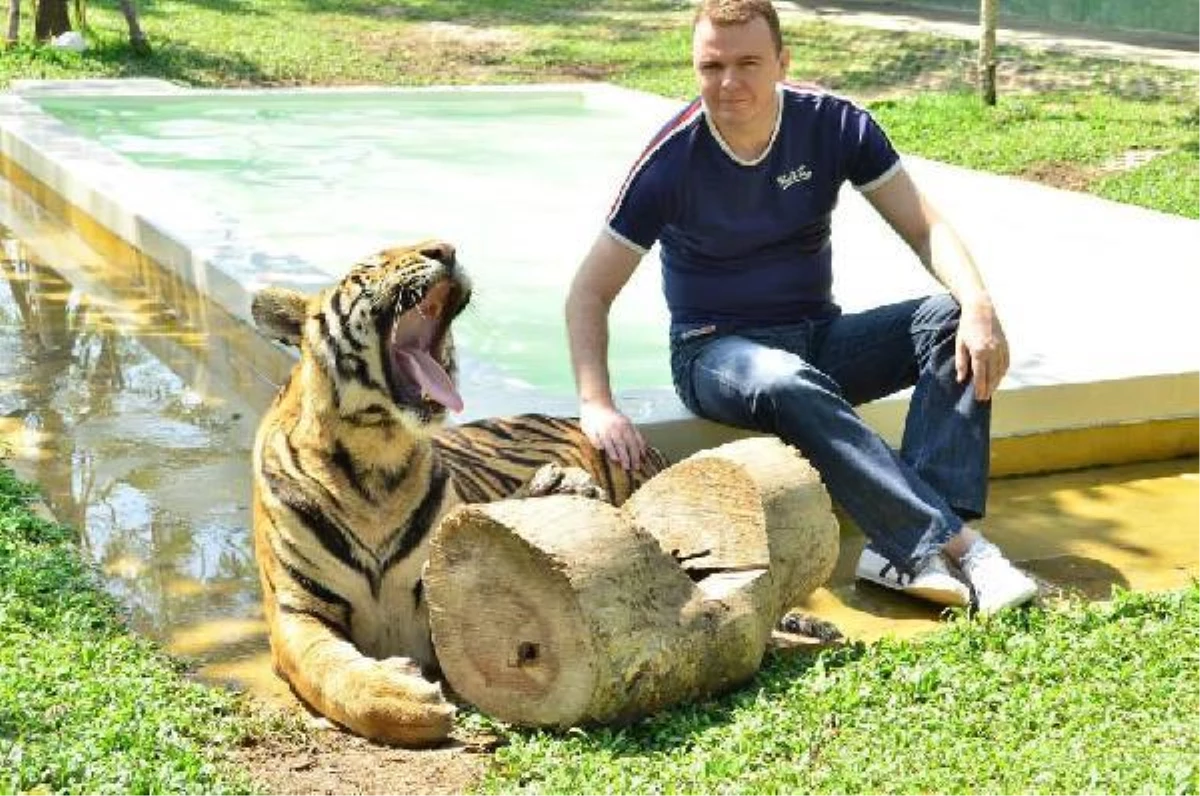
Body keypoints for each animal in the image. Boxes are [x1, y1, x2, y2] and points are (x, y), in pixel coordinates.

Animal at [249, 240, 672, 749]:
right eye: (370, 265)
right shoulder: (295, 611)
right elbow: (330, 671)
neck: (375, 461)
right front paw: (403, 698)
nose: (445, 249)